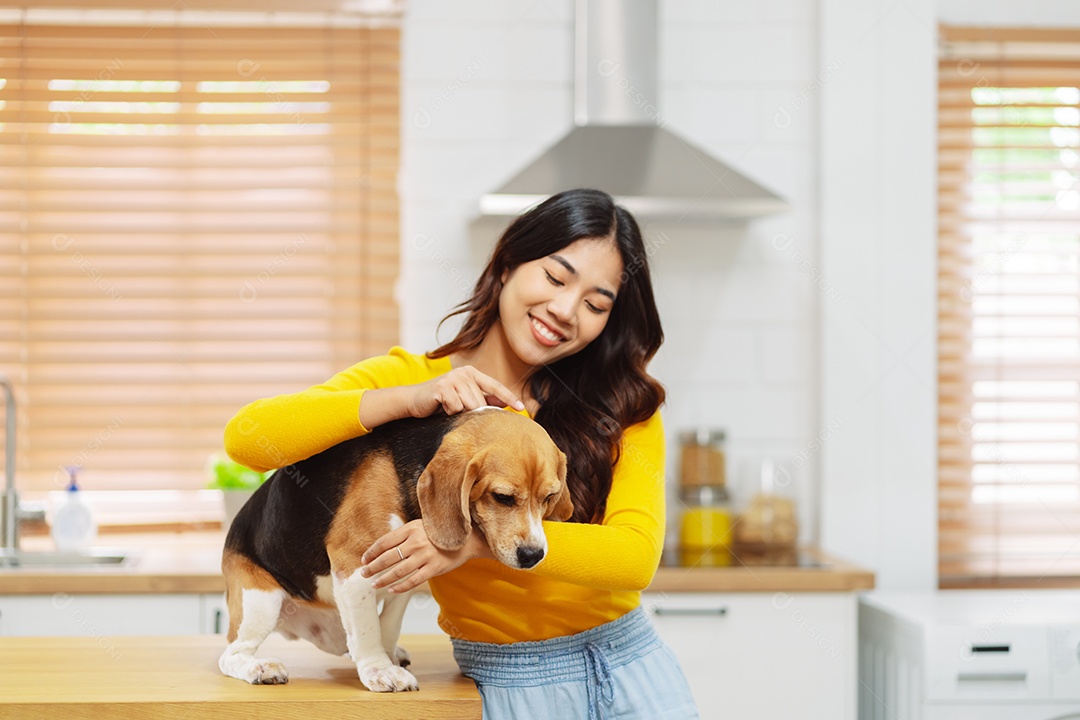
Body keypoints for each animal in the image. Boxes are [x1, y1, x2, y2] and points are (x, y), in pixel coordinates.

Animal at [219, 405, 574, 690]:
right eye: (502, 497)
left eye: (549, 497)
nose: (533, 555)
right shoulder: (355, 564)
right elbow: (368, 631)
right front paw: (380, 671)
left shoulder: (404, 571)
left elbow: (386, 627)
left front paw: (388, 657)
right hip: (261, 602)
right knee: (230, 655)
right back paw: (259, 667)